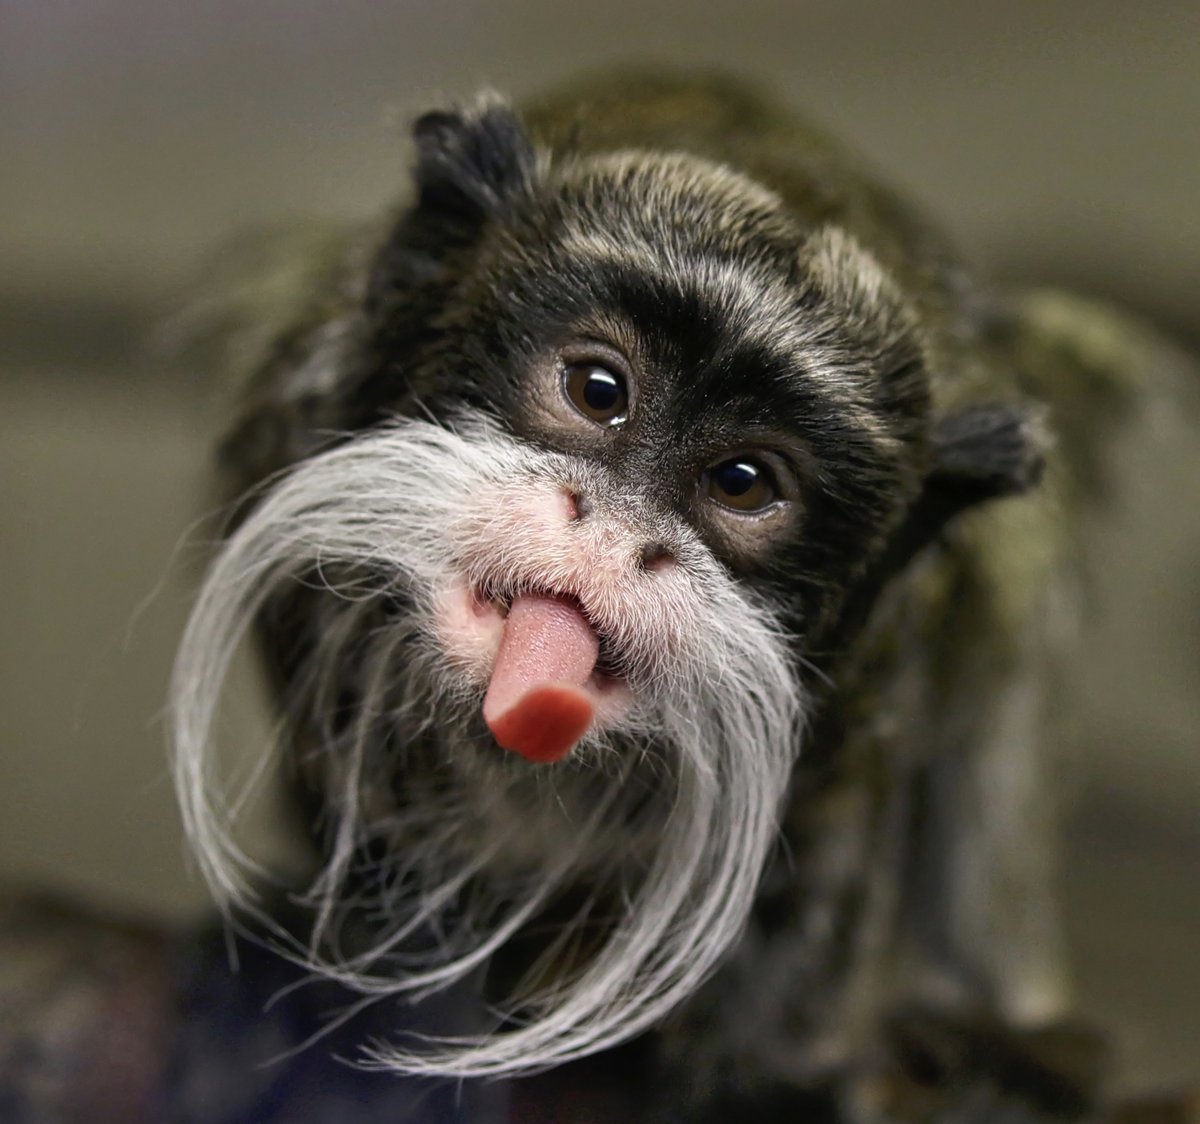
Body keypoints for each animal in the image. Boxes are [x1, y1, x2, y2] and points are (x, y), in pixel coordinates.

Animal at [151, 70, 1197, 1123]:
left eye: (742, 482)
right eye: (598, 388)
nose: (615, 536)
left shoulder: (876, 675)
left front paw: (772, 1079)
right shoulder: (294, 431)